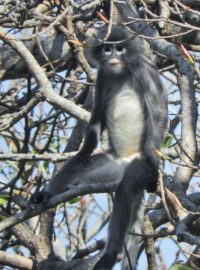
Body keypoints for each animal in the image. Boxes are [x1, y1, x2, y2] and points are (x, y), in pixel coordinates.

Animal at [34, 25, 167, 270]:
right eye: (107, 49)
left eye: (119, 48)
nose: (112, 56)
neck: (120, 71)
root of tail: (125, 161)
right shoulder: (103, 75)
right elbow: (97, 115)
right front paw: (84, 150)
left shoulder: (145, 71)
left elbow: (158, 113)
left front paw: (154, 162)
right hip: (111, 164)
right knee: (76, 165)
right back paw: (46, 194)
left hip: (136, 166)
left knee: (126, 188)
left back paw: (111, 253)